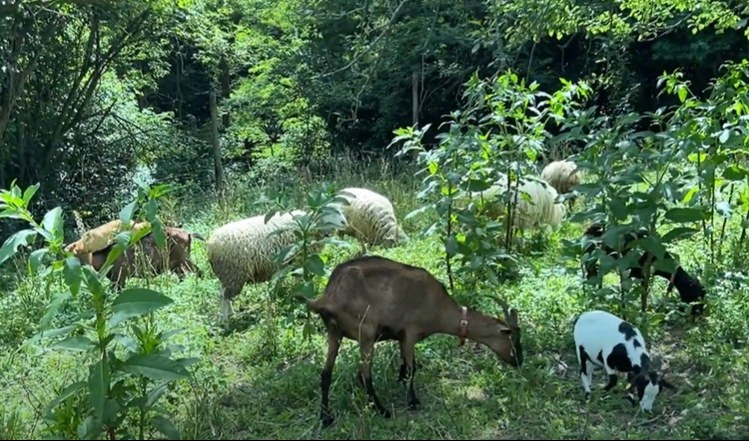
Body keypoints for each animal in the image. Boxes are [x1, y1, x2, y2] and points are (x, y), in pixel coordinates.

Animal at [300, 254, 524, 426]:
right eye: (512, 337)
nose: (519, 361)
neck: (438, 305)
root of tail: (328, 297)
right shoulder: (410, 333)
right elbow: (411, 368)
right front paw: (413, 400)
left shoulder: (401, 337)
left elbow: (406, 365)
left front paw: (401, 382)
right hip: (366, 332)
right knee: (364, 374)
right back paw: (382, 411)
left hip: (334, 333)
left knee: (325, 374)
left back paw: (326, 417)